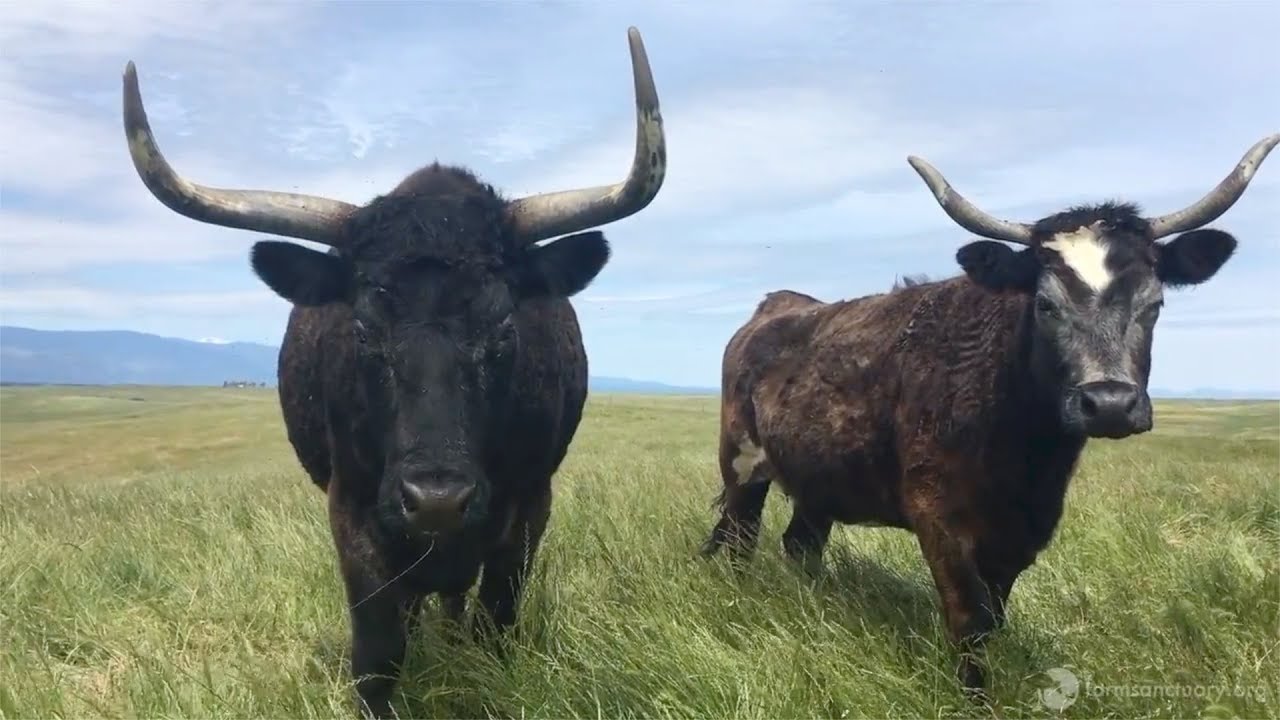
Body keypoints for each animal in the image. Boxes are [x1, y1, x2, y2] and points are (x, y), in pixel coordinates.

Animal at [706, 131, 1274, 691]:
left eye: (1153, 304)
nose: (1109, 403)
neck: (1024, 451)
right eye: (1045, 304)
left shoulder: (1025, 530)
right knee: (739, 538)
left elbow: (995, 615)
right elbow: (970, 617)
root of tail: (776, 306)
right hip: (741, 464)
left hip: (820, 477)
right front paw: (974, 695)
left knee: (801, 543)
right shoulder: (938, 518)